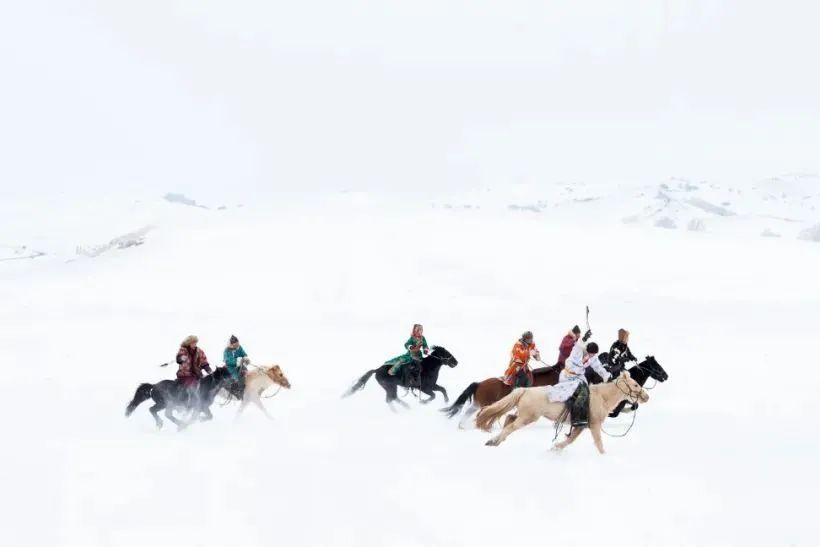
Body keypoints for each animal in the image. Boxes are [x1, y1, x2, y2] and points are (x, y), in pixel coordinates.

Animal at [474, 370, 648, 456]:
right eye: (635, 385)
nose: (646, 396)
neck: (601, 397)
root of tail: (524, 390)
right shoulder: (594, 425)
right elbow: (598, 443)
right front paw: (604, 455)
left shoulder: (580, 425)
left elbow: (570, 440)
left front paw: (555, 448)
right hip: (527, 418)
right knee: (510, 427)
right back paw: (495, 441)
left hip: (523, 416)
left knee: (509, 419)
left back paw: (494, 441)